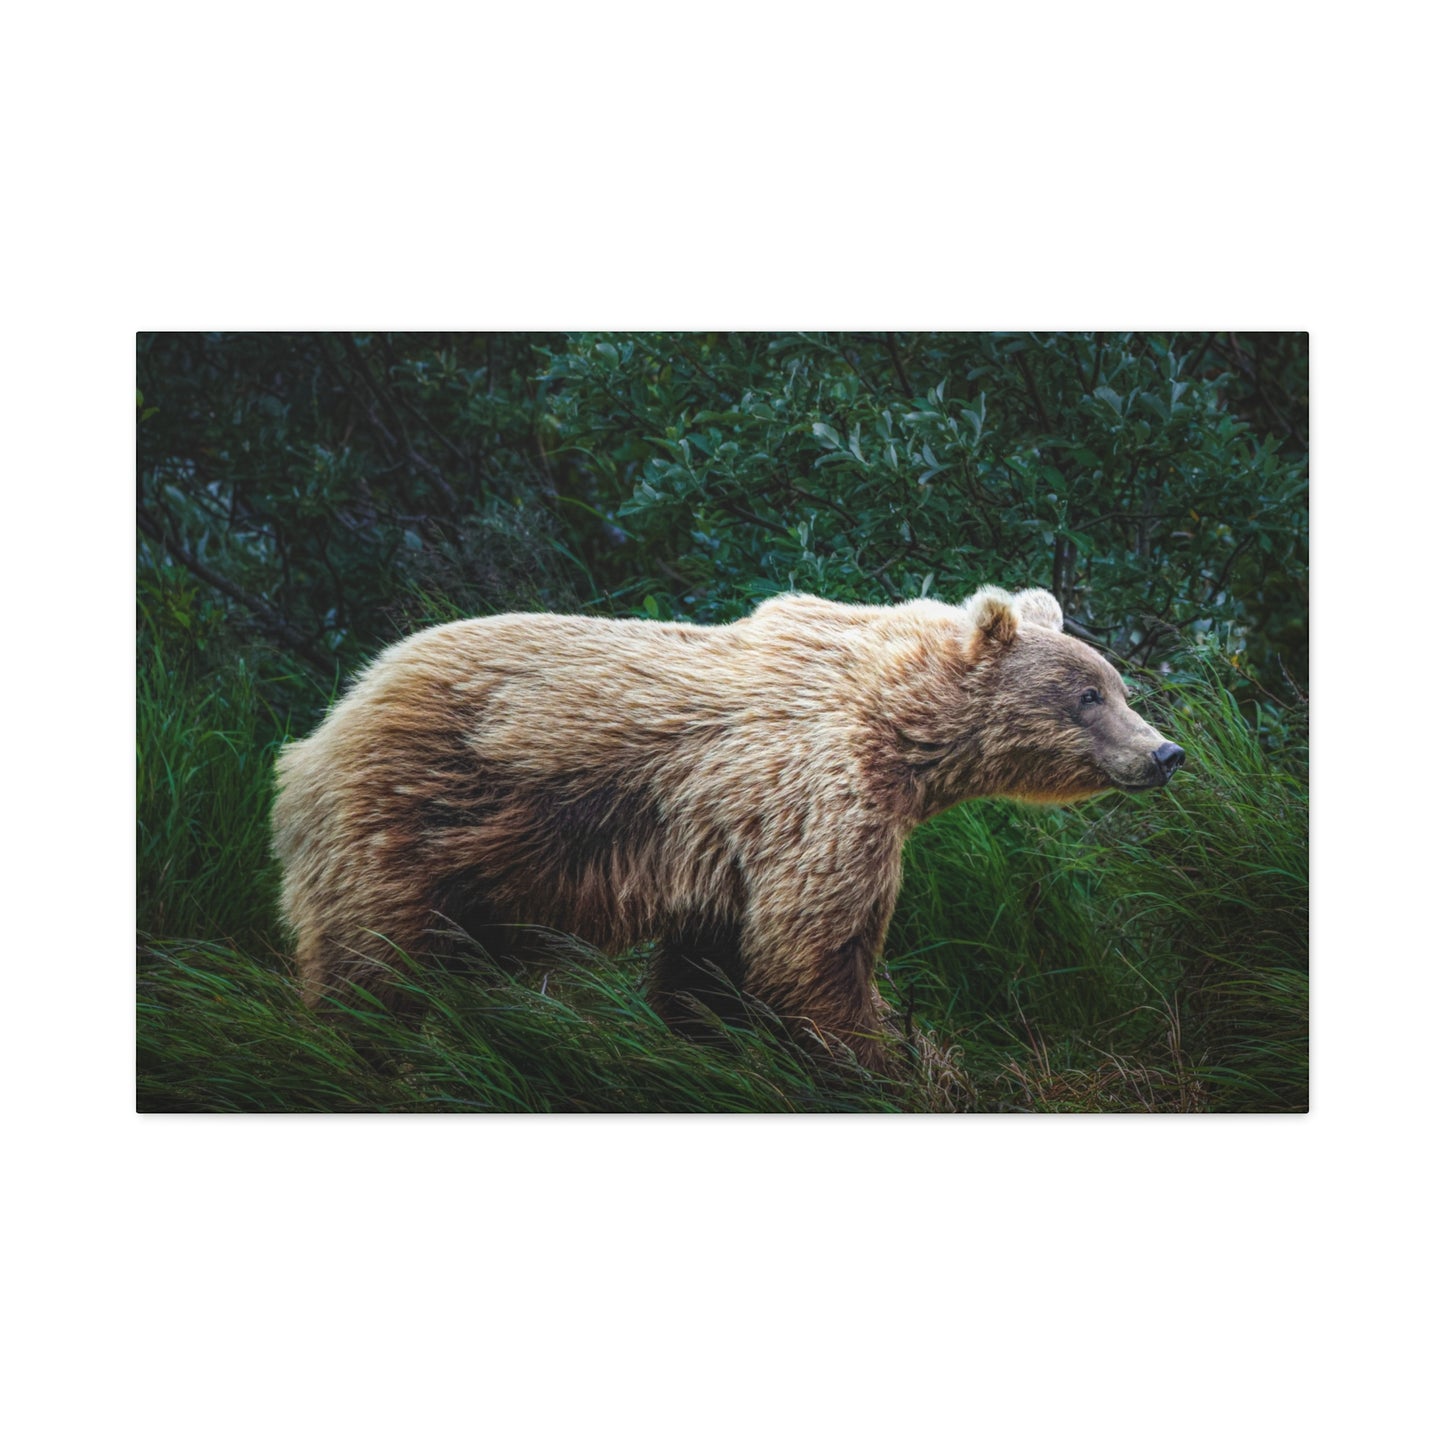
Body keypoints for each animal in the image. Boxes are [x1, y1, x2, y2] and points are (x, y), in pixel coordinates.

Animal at [271, 586, 1184, 1073]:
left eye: (1117, 685)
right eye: (1087, 694)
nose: (1164, 752)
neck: (902, 735)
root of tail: (320, 727)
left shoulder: (727, 847)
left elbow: (711, 967)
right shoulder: (819, 799)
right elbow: (816, 950)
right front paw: (896, 1053)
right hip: (411, 816)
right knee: (371, 961)